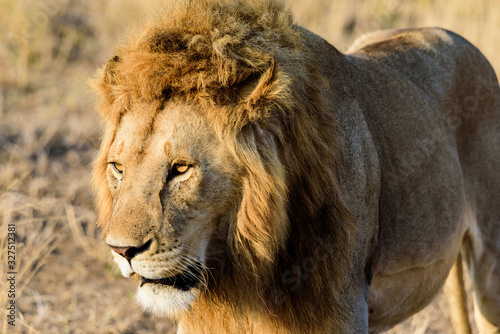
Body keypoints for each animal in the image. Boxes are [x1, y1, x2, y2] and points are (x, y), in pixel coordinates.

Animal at [90, 1, 500, 332]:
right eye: (118, 168)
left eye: (181, 168)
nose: (122, 251)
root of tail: (453, 36)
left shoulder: (343, 311)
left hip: (489, 268)